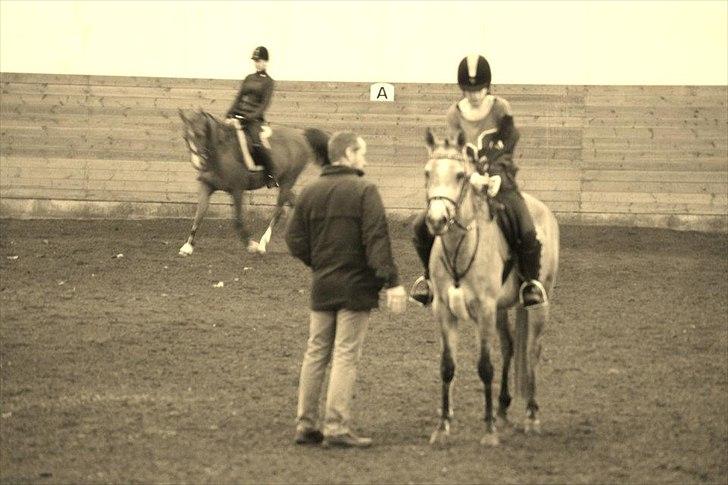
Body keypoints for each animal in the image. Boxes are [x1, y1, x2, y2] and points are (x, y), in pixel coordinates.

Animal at [176, 108, 328, 253]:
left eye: (200, 134)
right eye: (185, 137)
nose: (198, 164)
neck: (220, 153)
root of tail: (301, 135)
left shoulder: (237, 190)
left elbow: (238, 220)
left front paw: (250, 245)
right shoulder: (206, 186)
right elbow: (199, 214)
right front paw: (187, 246)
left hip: (288, 180)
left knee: (279, 210)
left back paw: (262, 244)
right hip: (282, 183)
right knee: (293, 202)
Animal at [424, 129, 560, 446]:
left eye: (460, 175)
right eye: (427, 173)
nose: (436, 220)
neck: (460, 249)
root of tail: (544, 210)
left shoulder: (484, 310)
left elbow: (485, 367)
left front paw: (488, 432)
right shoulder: (444, 311)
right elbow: (447, 366)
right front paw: (442, 428)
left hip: (538, 304)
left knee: (532, 350)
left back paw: (531, 416)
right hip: (500, 309)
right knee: (510, 347)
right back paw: (502, 409)